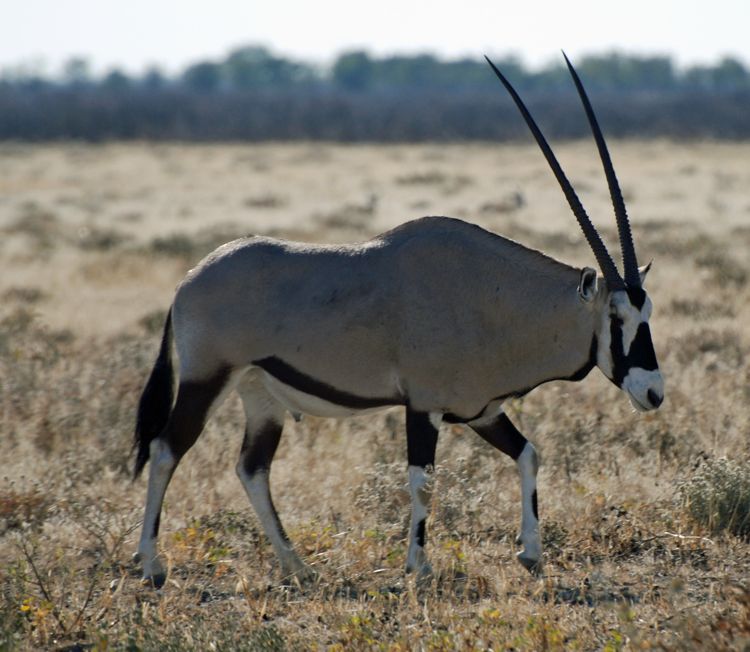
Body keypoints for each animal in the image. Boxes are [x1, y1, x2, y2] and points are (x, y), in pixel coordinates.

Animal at [134, 54, 664, 584]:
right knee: (166, 450)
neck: (488, 295)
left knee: (251, 467)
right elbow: (423, 481)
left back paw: (297, 566)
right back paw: (151, 563)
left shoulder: (481, 410)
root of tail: (188, 281)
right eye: (616, 315)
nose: (654, 393)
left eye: (647, 311)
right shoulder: (423, 406)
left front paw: (530, 552)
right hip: (207, 378)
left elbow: (529, 454)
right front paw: (418, 565)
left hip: (260, 394)